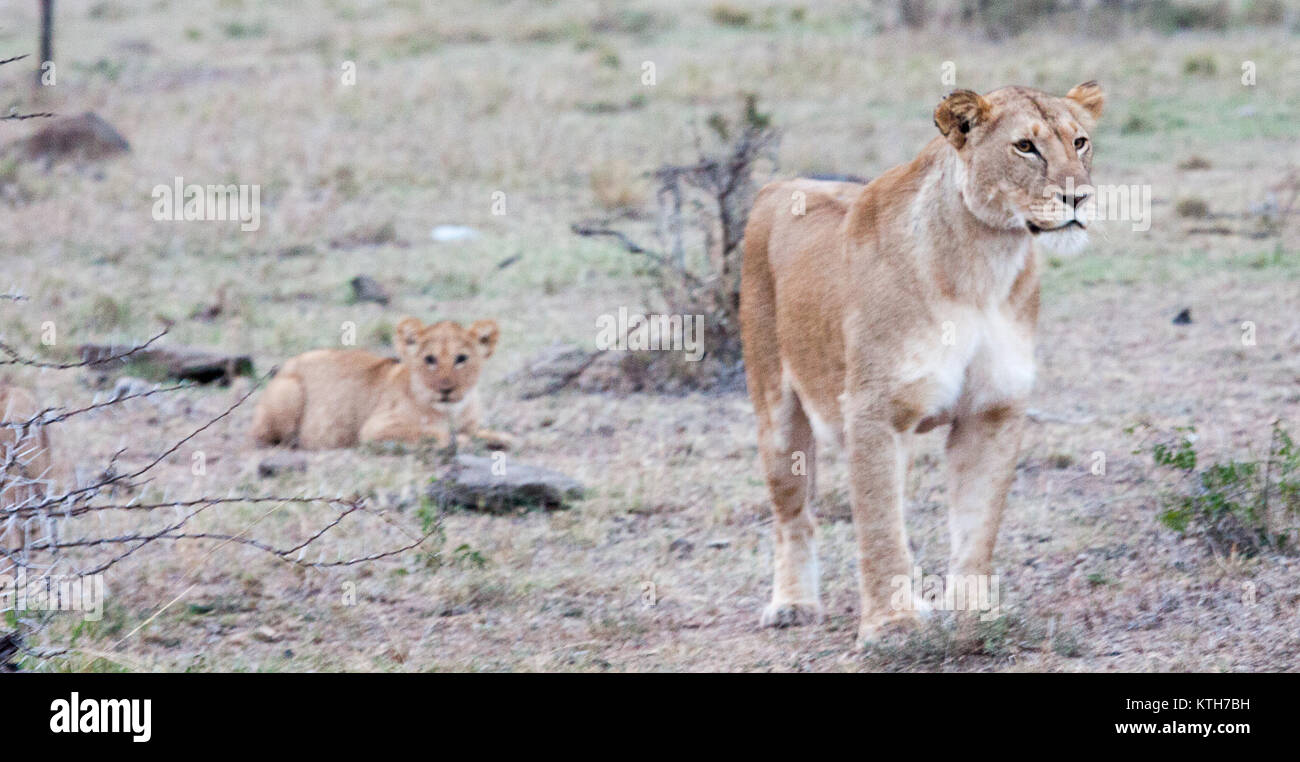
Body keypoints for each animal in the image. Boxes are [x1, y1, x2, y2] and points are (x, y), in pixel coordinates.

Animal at [250, 318, 513, 451]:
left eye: (461, 359)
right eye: (429, 359)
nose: (446, 389)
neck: (452, 411)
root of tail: (288, 365)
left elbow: (484, 432)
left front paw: (498, 438)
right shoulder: (375, 429)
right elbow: (430, 432)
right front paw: (460, 440)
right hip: (289, 393)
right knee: (263, 436)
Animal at [739, 82, 1103, 646]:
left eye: (1080, 141)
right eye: (1025, 147)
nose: (1079, 197)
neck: (985, 263)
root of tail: (782, 184)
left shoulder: (993, 411)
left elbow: (976, 528)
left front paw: (975, 615)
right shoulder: (874, 412)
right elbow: (880, 528)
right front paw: (891, 626)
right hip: (776, 409)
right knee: (795, 515)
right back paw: (793, 604)